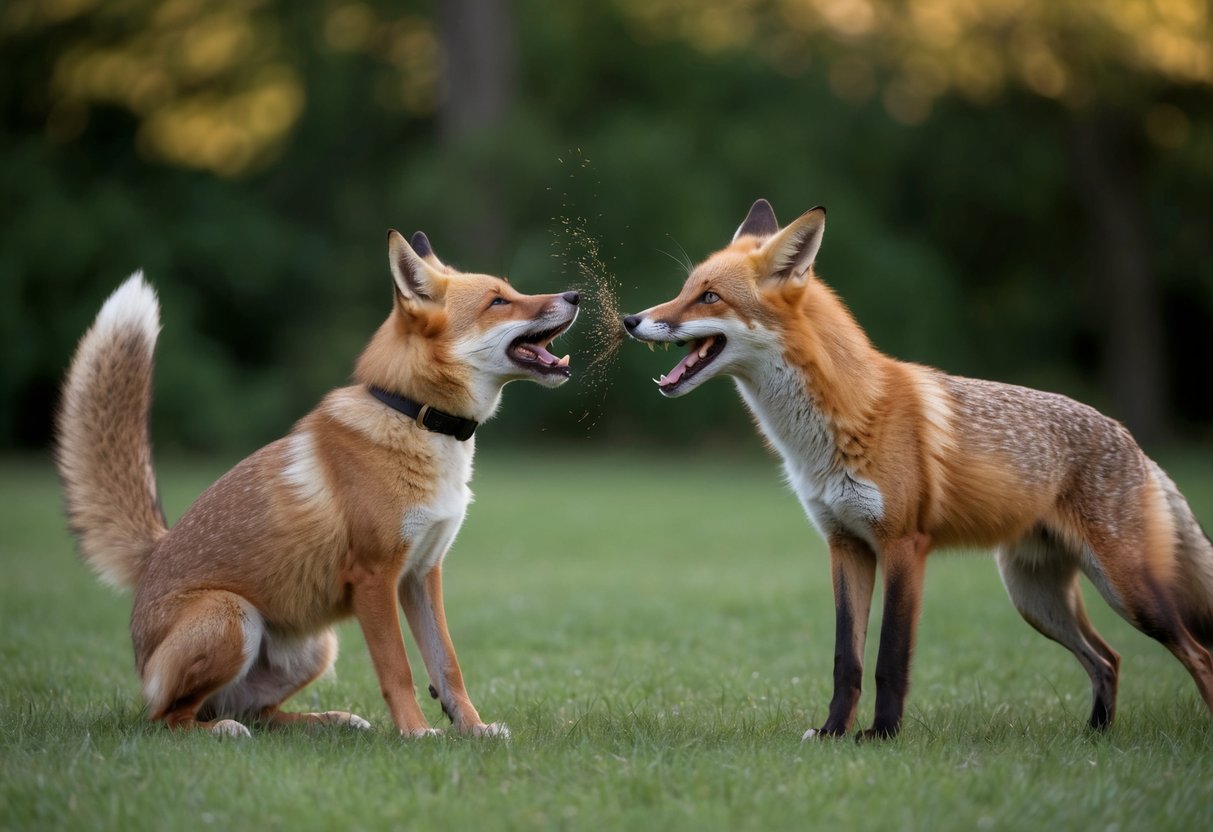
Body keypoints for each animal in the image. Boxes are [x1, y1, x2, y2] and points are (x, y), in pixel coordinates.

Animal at [56, 229, 579, 738]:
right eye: (498, 302)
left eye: (512, 291)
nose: (575, 294)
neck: (414, 414)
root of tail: (152, 555)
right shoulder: (374, 577)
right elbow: (399, 670)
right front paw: (416, 734)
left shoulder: (422, 574)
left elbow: (447, 667)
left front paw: (473, 729)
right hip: (232, 617)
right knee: (169, 718)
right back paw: (223, 731)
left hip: (316, 647)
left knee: (259, 714)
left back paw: (332, 721)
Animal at [622, 198, 1213, 740]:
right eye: (685, 289)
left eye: (710, 297)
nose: (630, 320)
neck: (838, 424)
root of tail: (1133, 440)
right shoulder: (845, 545)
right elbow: (846, 660)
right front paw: (833, 733)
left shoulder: (904, 544)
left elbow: (890, 657)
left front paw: (882, 736)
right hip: (1036, 600)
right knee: (1109, 658)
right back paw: (1095, 738)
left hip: (1130, 593)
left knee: (1195, 654)